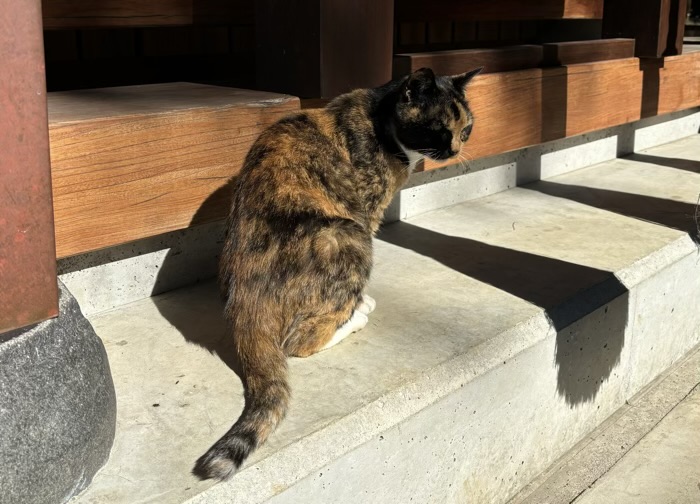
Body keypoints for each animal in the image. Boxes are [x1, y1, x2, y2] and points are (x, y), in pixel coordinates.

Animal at [194, 67, 484, 480]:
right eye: (438, 129)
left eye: (466, 129)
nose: (456, 150)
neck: (379, 120)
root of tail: (244, 307)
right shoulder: (367, 210)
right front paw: (361, 305)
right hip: (348, 236)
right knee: (300, 343)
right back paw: (355, 316)